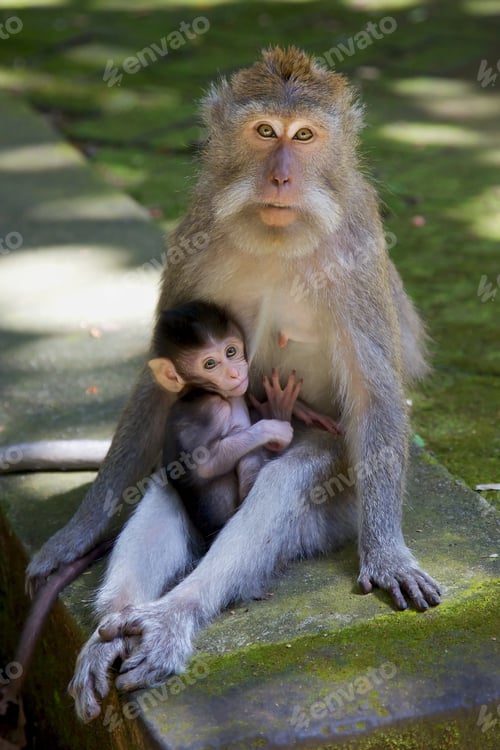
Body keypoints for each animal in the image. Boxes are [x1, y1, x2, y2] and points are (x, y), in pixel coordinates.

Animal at [18, 47, 440, 721]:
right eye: (265, 131)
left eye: (304, 136)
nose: (281, 179)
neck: (278, 232)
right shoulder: (195, 234)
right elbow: (159, 382)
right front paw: (76, 534)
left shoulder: (356, 251)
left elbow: (374, 395)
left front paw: (386, 554)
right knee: (170, 484)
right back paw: (116, 628)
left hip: (336, 498)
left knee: (284, 483)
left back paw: (172, 618)